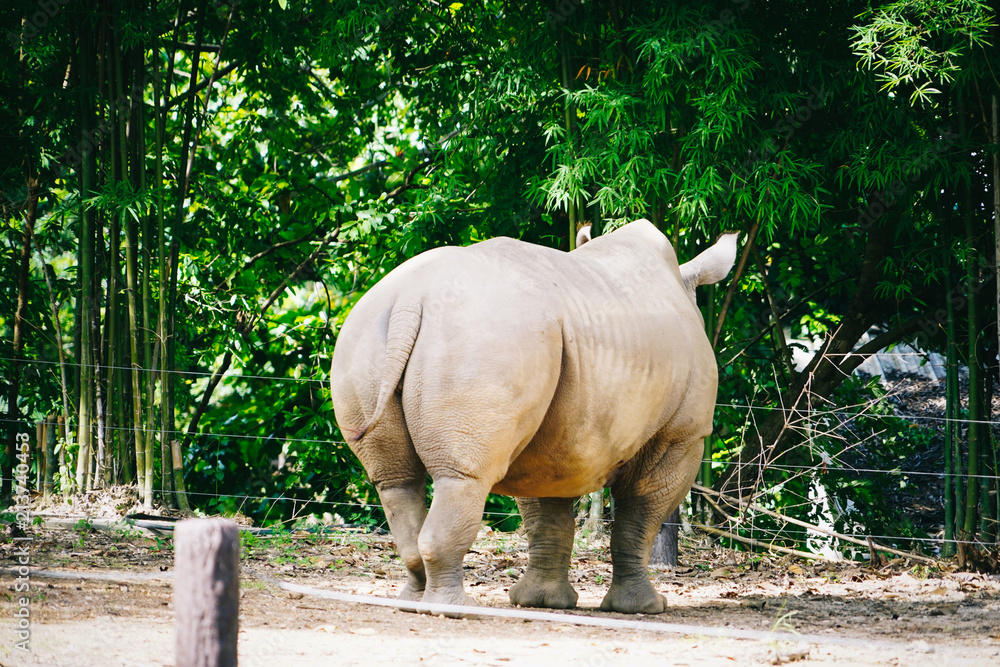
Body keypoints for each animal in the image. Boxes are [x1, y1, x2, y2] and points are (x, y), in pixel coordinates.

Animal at [330, 219, 737, 614]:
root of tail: (411, 299)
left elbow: (548, 516)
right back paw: (456, 610)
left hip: (367, 333)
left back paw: (411, 602)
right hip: (487, 336)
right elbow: (640, 518)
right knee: (464, 476)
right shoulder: (682, 436)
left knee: (395, 482)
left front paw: (540, 602)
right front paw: (646, 609)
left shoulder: (553, 442)